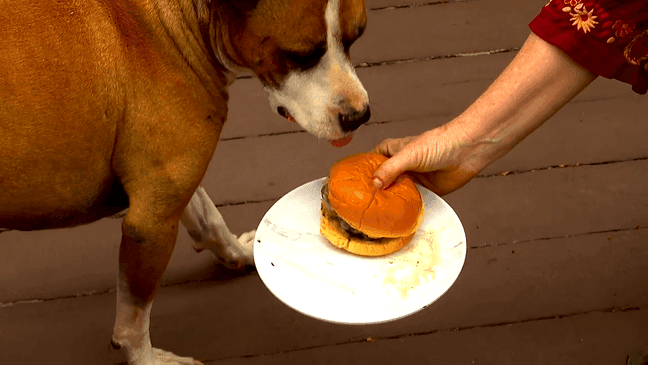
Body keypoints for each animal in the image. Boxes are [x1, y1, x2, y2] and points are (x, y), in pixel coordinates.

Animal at [0, 1, 370, 362]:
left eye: (357, 37)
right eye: (301, 55)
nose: (360, 116)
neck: (181, 21)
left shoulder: (173, 184)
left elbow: (209, 219)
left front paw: (241, 253)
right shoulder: (150, 226)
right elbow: (133, 324)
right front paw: (149, 360)